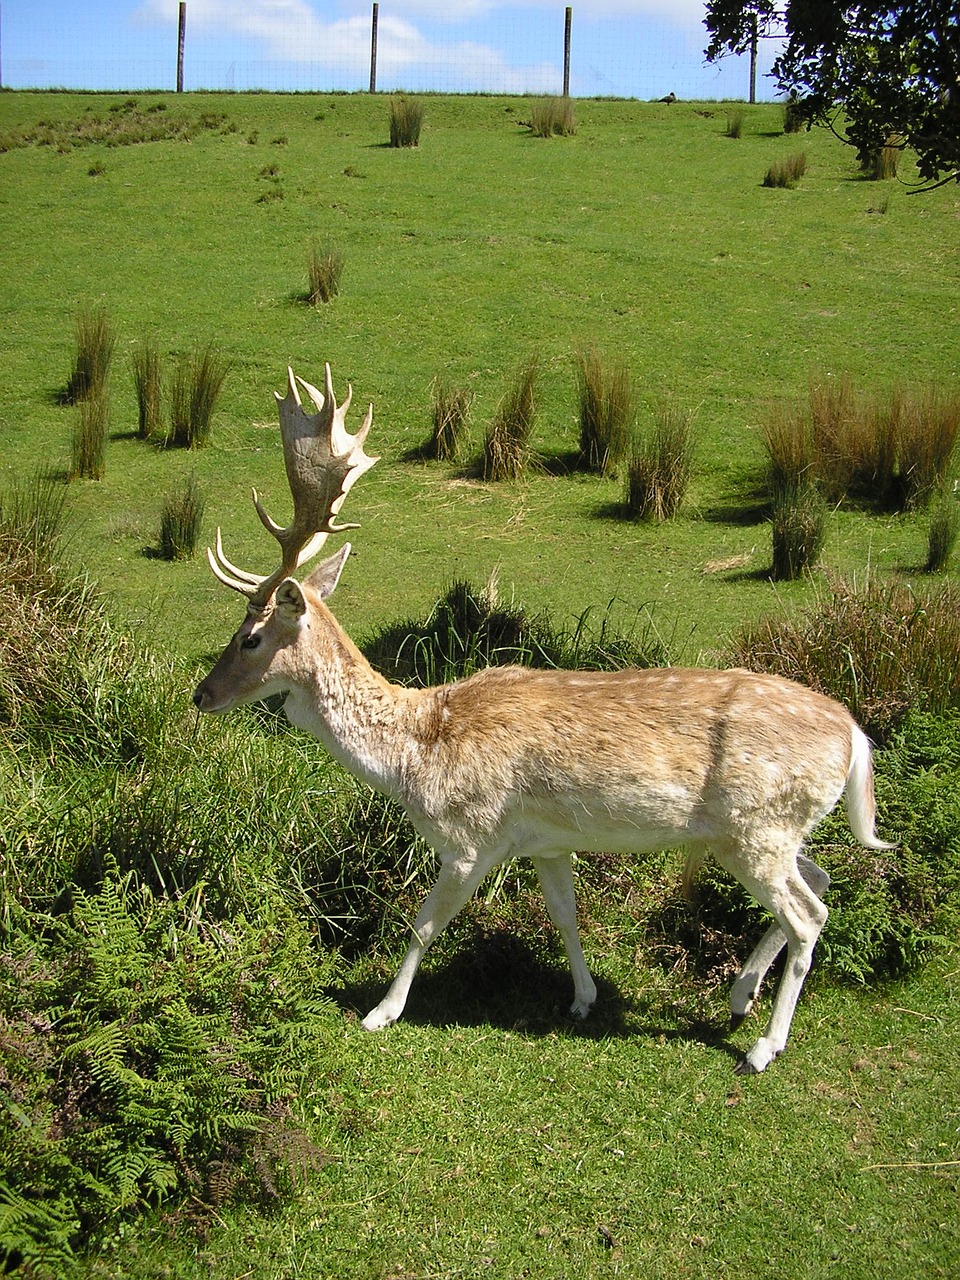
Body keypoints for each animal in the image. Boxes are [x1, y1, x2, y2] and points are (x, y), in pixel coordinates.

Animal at [193, 366, 896, 1075]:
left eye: (251, 637)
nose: (201, 694)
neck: (417, 756)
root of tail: (855, 736)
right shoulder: (548, 841)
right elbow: (565, 915)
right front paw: (582, 998)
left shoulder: (472, 836)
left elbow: (424, 923)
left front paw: (381, 1012)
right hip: (775, 828)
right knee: (821, 882)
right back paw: (739, 996)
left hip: (758, 826)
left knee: (809, 915)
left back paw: (762, 1045)